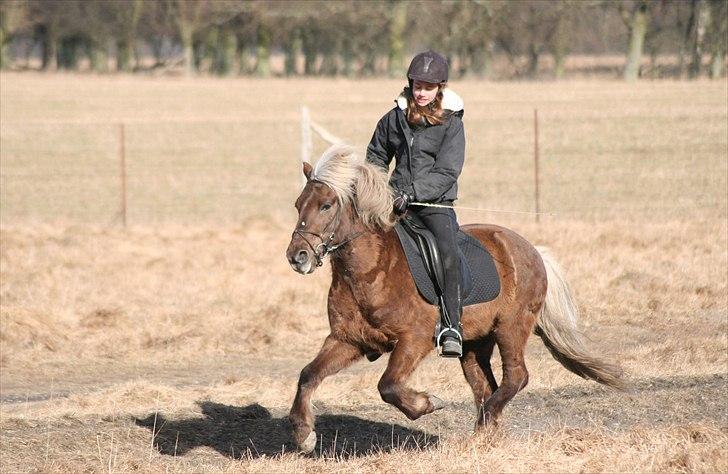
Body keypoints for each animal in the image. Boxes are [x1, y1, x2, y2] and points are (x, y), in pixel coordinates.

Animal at [286, 143, 624, 452]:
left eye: (327, 205)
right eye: (298, 204)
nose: (297, 257)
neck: (369, 270)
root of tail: (533, 250)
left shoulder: (414, 339)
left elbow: (388, 385)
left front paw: (427, 403)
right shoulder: (348, 340)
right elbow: (307, 375)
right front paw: (304, 435)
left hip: (512, 327)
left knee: (516, 377)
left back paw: (484, 425)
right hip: (475, 344)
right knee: (484, 385)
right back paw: (485, 436)